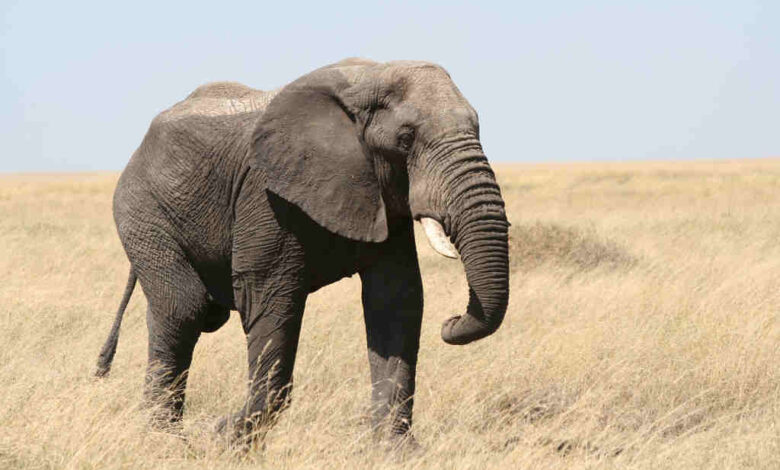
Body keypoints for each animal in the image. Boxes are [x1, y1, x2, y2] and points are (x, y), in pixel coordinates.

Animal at [95, 58, 510, 443]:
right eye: (405, 139)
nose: (451, 322)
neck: (368, 79)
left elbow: (395, 300)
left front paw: (397, 451)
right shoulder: (267, 194)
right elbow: (269, 296)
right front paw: (225, 439)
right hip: (142, 210)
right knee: (183, 307)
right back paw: (163, 436)